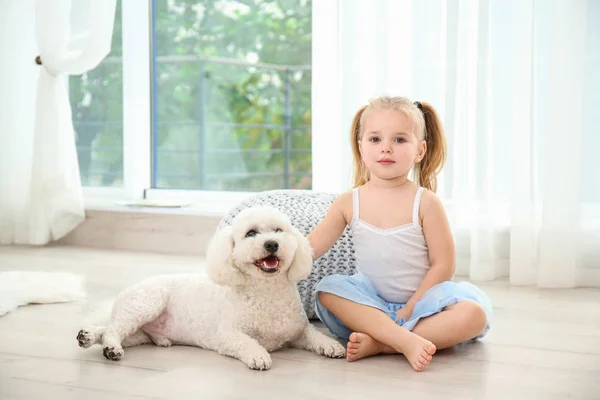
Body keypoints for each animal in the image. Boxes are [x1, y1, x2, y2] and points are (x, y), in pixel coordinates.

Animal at [77, 208, 344, 370]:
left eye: (279, 230)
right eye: (251, 233)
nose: (271, 244)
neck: (267, 291)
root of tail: (125, 291)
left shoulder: (299, 331)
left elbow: (316, 335)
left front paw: (332, 346)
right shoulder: (227, 336)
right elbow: (247, 343)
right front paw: (258, 356)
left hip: (139, 333)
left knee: (111, 329)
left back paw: (88, 336)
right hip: (147, 303)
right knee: (114, 329)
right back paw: (111, 348)